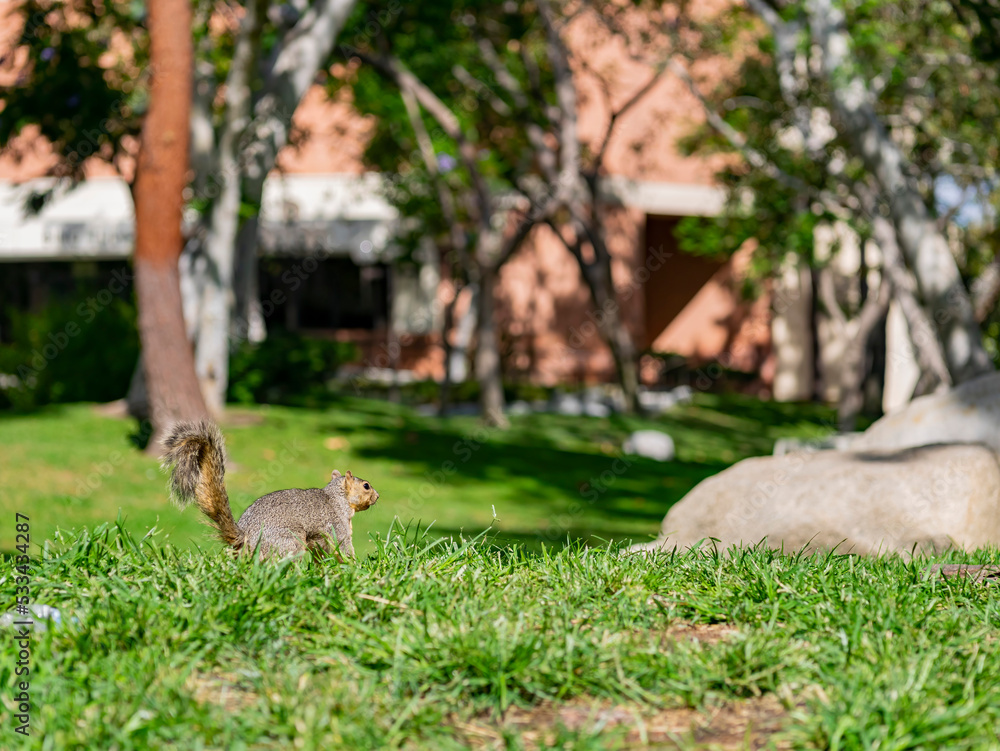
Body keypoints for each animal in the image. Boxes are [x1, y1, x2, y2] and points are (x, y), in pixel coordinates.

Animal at [160, 420, 380, 560]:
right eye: (366, 485)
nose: (377, 496)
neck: (337, 498)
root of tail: (245, 537)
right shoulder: (337, 527)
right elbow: (344, 548)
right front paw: (356, 568)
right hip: (289, 542)